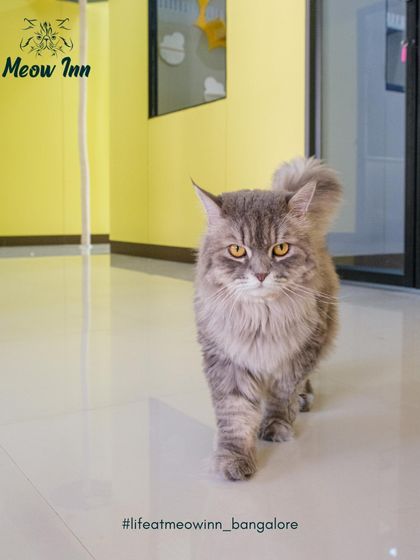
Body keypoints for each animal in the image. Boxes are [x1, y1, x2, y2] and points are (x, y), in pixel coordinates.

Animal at [193, 157, 342, 481]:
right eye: (237, 250)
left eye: (281, 249)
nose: (261, 274)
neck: (261, 320)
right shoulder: (226, 359)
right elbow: (235, 414)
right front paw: (234, 459)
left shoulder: (298, 354)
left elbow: (282, 394)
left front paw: (275, 426)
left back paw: (304, 399)